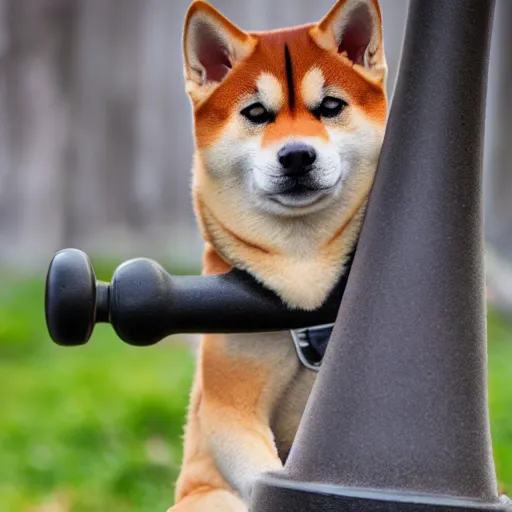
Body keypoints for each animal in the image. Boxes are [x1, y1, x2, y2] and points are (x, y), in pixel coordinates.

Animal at [170, 2, 386, 510]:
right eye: (255, 112)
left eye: (330, 107)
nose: (297, 156)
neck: (304, 273)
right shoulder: (231, 406)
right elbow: (263, 475)